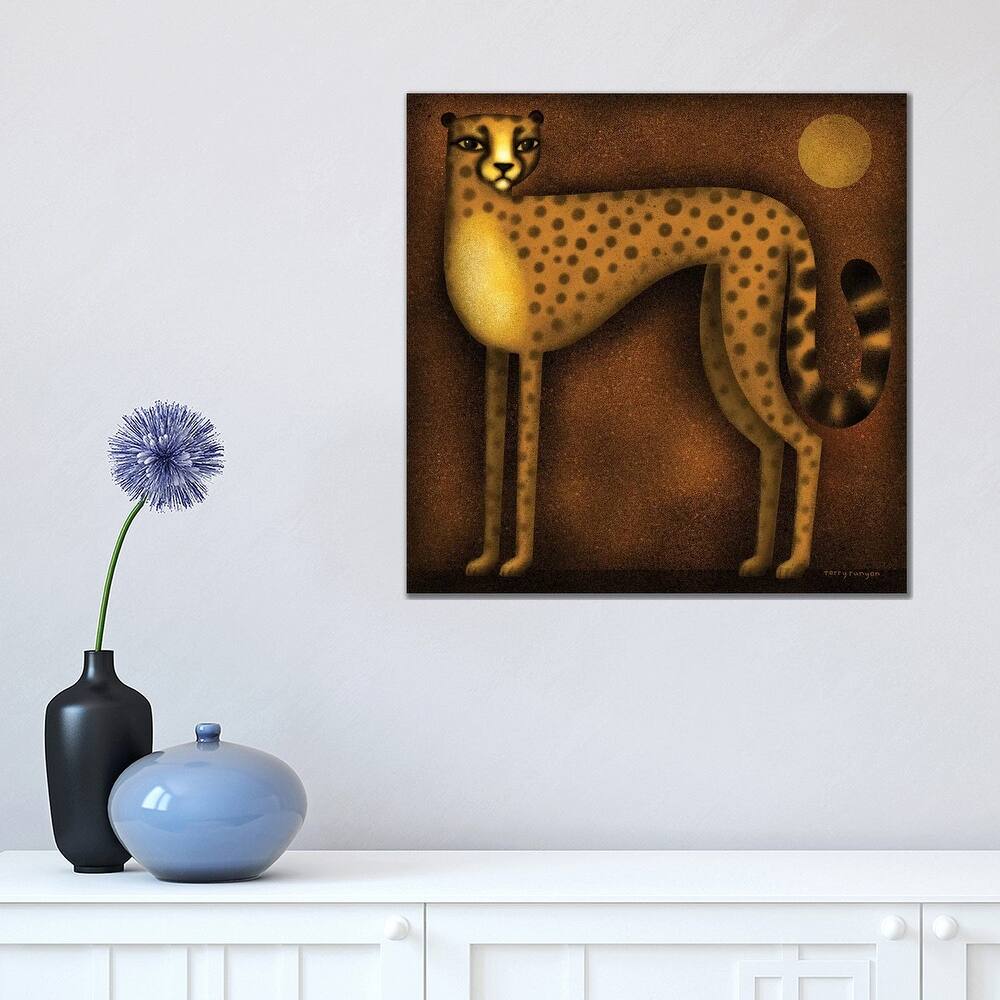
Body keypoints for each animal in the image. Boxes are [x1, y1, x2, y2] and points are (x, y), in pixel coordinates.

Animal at [439, 109, 892, 580]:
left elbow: (525, 459)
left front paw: (518, 561)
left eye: (525, 143)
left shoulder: (531, 354)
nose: (504, 168)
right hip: (718, 335)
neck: (488, 216)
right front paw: (486, 558)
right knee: (770, 443)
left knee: (806, 440)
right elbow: (493, 458)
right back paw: (759, 560)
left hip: (743, 331)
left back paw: (796, 563)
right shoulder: (494, 356)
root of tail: (783, 210)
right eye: (471, 142)